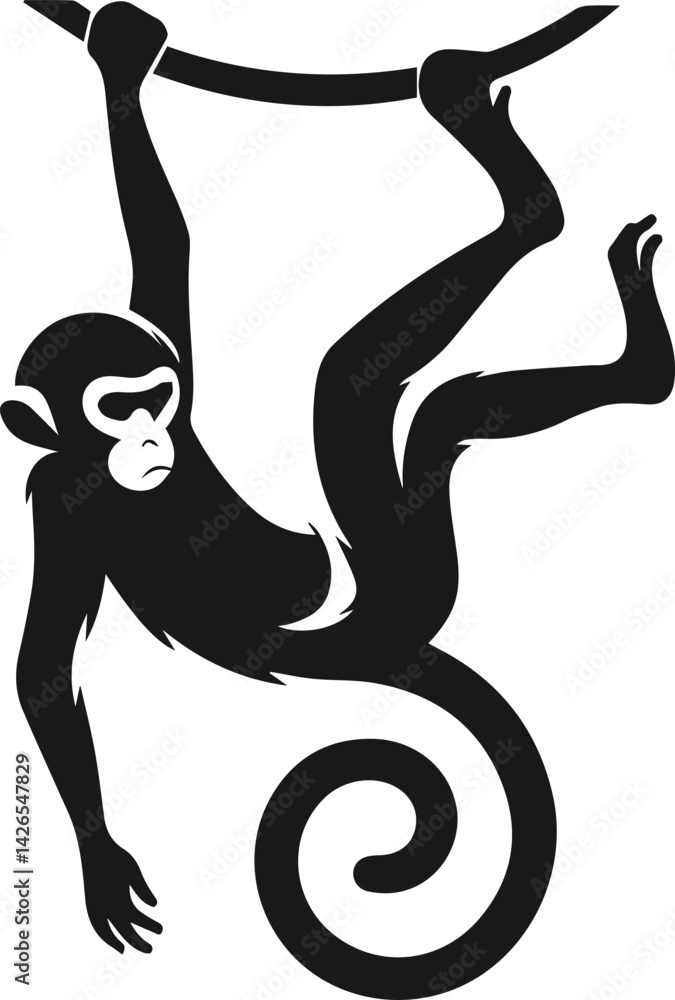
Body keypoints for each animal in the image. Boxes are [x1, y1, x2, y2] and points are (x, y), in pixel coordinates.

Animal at [2, 3, 672, 995]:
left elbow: (166, 251)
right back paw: (560, 246)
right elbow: (44, 663)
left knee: (420, 401)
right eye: (115, 409)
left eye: (152, 398)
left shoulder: (166, 363)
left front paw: (123, 67)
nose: (153, 440)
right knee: (373, 385)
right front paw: (104, 863)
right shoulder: (52, 495)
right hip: (397, 581)